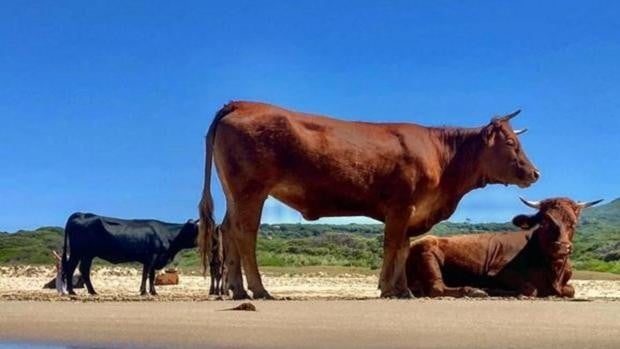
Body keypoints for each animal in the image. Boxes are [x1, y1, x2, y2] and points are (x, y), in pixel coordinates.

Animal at [61, 211, 197, 294]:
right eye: (196, 229)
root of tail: (82, 214)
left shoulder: (148, 259)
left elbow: (146, 274)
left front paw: (146, 292)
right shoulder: (153, 256)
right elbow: (150, 275)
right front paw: (149, 292)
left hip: (86, 254)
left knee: (82, 269)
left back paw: (91, 292)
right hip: (78, 252)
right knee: (71, 268)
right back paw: (73, 291)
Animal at [197, 99, 536, 298]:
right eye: (510, 143)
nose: (535, 173)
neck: (443, 158)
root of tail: (241, 104)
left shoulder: (411, 212)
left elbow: (402, 248)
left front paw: (403, 290)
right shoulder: (401, 206)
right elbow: (392, 247)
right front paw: (387, 288)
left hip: (235, 193)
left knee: (228, 230)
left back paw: (238, 290)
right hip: (252, 190)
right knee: (245, 233)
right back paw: (259, 290)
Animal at [404, 197, 604, 298]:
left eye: (573, 223)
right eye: (545, 221)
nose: (562, 247)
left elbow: (570, 291)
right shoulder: (498, 272)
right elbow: (530, 288)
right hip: (428, 251)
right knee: (436, 288)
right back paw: (474, 290)